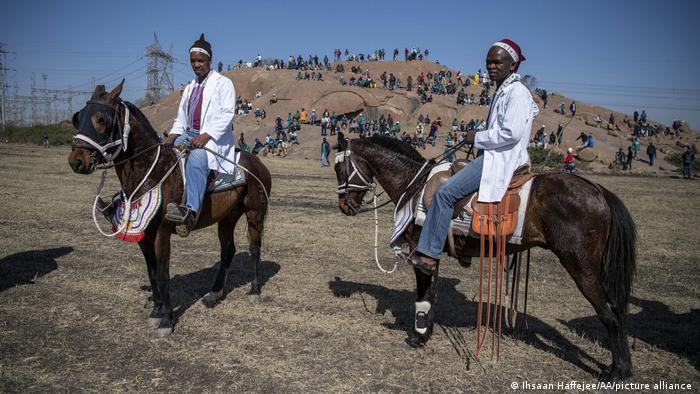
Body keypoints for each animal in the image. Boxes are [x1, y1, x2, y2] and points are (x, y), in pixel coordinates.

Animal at [67, 82, 270, 336]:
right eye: (78, 117)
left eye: (101, 118)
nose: (77, 161)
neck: (152, 171)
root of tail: (259, 164)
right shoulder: (143, 234)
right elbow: (153, 272)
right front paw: (156, 311)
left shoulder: (162, 233)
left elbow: (163, 272)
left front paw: (166, 319)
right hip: (227, 218)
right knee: (228, 250)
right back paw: (214, 293)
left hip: (255, 214)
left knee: (254, 248)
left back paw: (254, 290)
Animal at [330, 133, 636, 382]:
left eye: (338, 167)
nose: (344, 206)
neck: (413, 185)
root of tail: (598, 190)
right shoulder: (432, 256)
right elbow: (431, 295)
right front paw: (425, 332)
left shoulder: (421, 252)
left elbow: (423, 294)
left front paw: (417, 337)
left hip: (581, 265)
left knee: (610, 313)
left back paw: (616, 371)